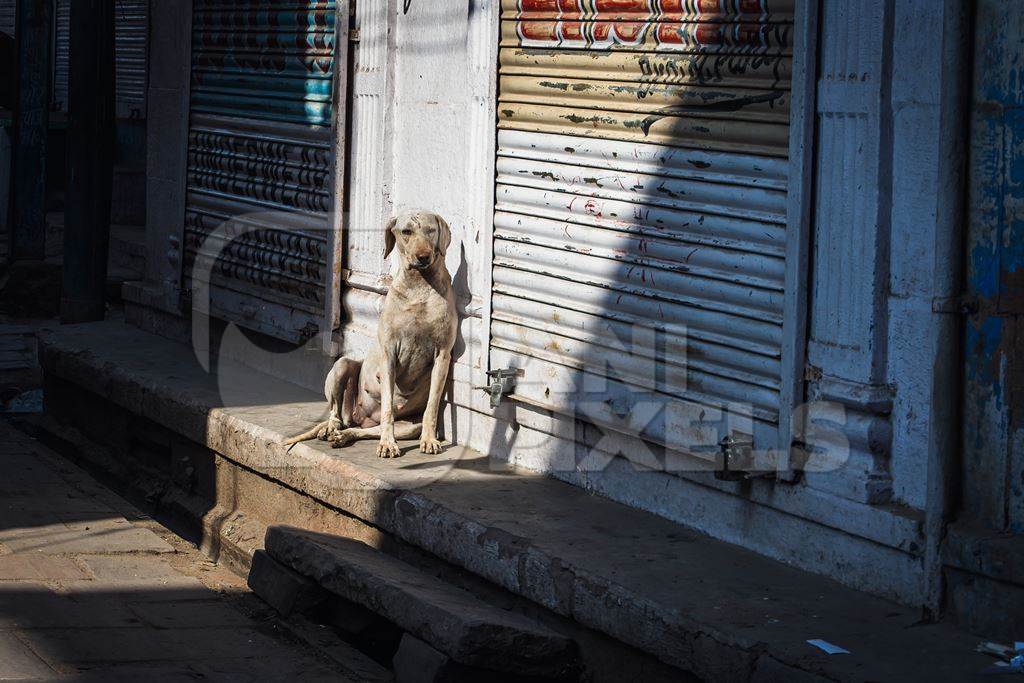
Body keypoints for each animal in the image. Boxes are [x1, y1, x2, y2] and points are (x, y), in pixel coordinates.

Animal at [282, 210, 454, 456]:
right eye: (406, 231)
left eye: (430, 230)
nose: (423, 257)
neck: (419, 285)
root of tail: (359, 418)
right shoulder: (389, 353)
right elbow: (388, 406)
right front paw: (388, 443)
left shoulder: (442, 355)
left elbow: (431, 405)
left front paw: (429, 439)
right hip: (341, 366)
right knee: (336, 412)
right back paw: (331, 428)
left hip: (408, 425)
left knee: (364, 430)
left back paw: (343, 436)